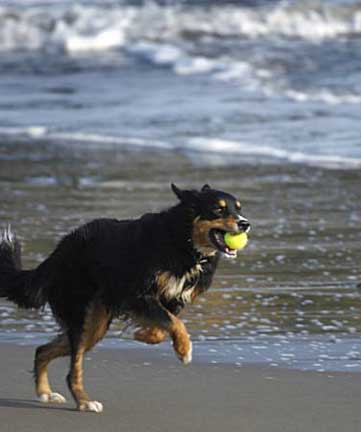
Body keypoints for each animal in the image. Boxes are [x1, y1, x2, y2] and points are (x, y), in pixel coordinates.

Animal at [0, 182, 249, 412]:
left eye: (238, 208)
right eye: (218, 209)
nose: (245, 224)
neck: (184, 241)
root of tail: (58, 251)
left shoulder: (172, 300)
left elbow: (166, 325)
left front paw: (144, 335)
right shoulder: (137, 294)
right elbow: (175, 323)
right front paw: (184, 350)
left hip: (95, 325)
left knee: (42, 350)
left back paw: (45, 392)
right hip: (80, 316)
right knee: (72, 370)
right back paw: (84, 402)